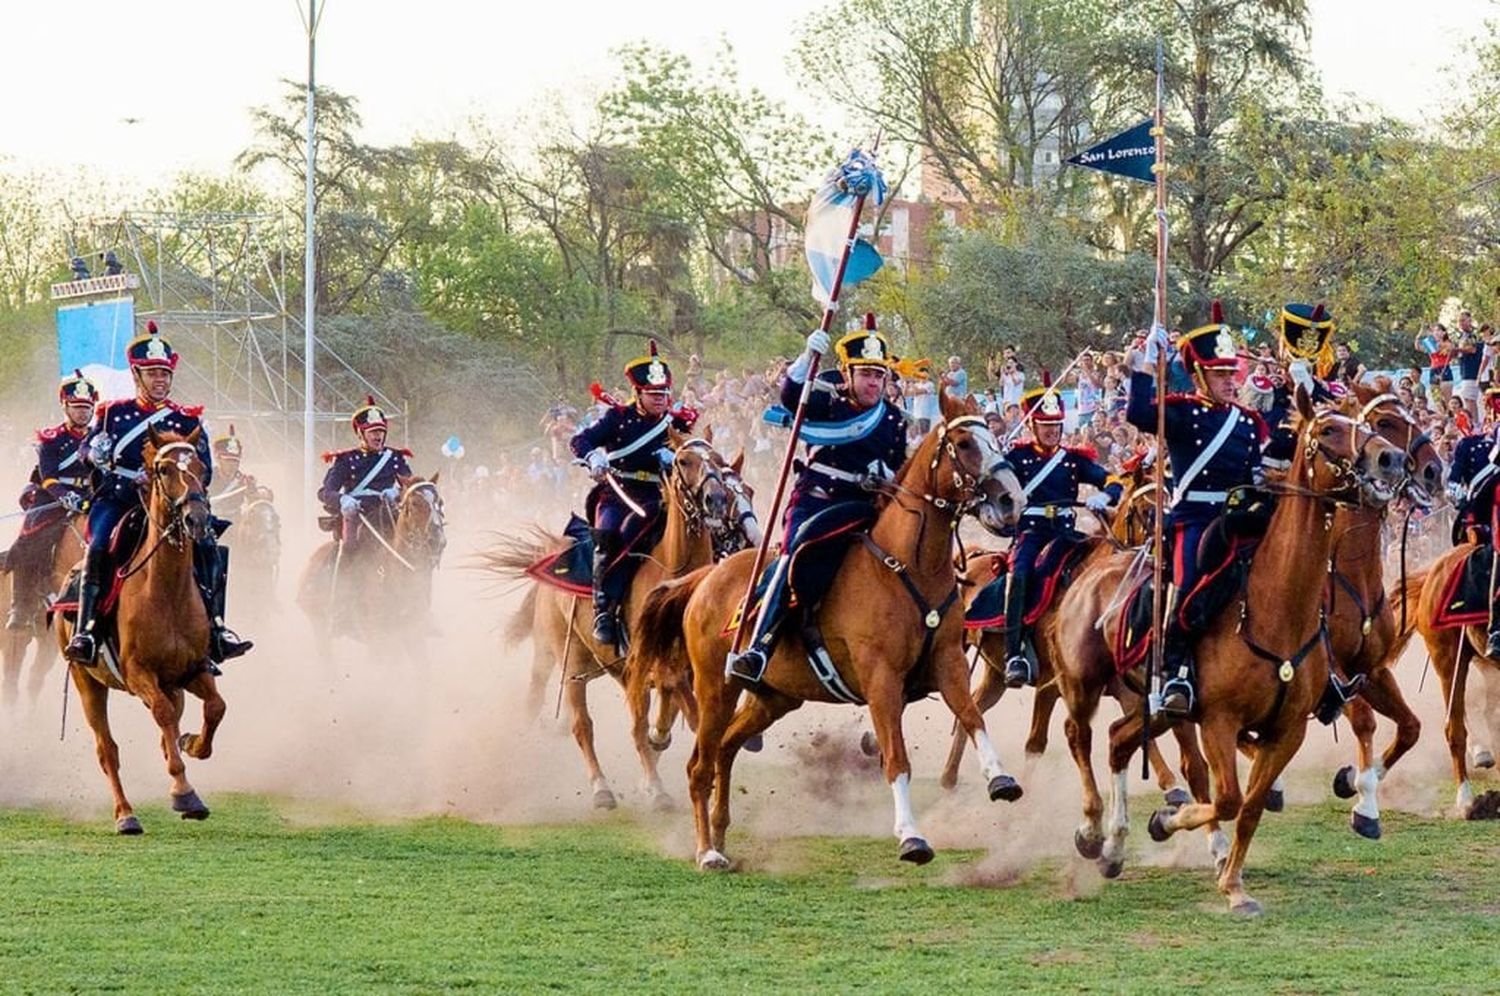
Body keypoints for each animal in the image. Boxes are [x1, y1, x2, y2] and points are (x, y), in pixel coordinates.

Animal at [52, 429, 225, 834]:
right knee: (108, 750)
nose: (197, 519)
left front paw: (192, 744)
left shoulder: (193, 670)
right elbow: (162, 715)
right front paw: (183, 793)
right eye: (163, 469)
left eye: (201, 466)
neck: (166, 589)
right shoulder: (137, 673)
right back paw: (126, 815)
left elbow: (214, 708)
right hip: (87, 682)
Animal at [480, 435, 732, 810]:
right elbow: (651, 718)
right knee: (577, 722)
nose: (716, 499)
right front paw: (657, 780)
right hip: (564, 660)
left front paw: (661, 746)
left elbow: (667, 713)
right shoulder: (649, 664)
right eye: (684, 461)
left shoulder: (676, 667)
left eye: (718, 459)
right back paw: (600, 787)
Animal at [627, 393, 1026, 870]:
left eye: (995, 440)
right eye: (964, 443)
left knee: (724, 749)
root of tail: (704, 579)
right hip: (714, 688)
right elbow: (896, 758)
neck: (906, 566)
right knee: (699, 766)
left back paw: (721, 838)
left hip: (773, 698)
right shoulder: (881, 681)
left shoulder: (948, 663)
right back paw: (707, 851)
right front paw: (911, 836)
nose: (1012, 501)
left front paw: (1000, 779)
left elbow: (972, 716)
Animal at [1044, 393, 1404, 912]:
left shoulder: (1287, 730)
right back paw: (1092, 831)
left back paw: (1114, 846)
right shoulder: (1218, 721)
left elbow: (1249, 806)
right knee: (1080, 736)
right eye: (1329, 430)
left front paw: (1233, 883)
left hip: (1155, 708)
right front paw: (1167, 825)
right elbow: (1228, 797)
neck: (1276, 607)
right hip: (1083, 685)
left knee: (1117, 741)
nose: (1391, 459)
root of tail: (1090, 570)